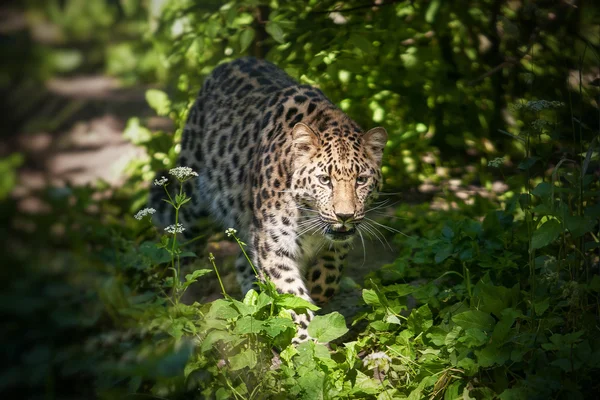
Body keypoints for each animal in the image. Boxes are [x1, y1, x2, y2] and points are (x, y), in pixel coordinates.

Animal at [151, 56, 390, 342]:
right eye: (325, 180)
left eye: (361, 180)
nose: (345, 215)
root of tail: (232, 61)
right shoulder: (273, 245)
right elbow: (293, 297)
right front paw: (304, 341)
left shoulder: (337, 245)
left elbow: (327, 279)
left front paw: (315, 298)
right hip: (191, 201)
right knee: (180, 252)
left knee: (242, 264)